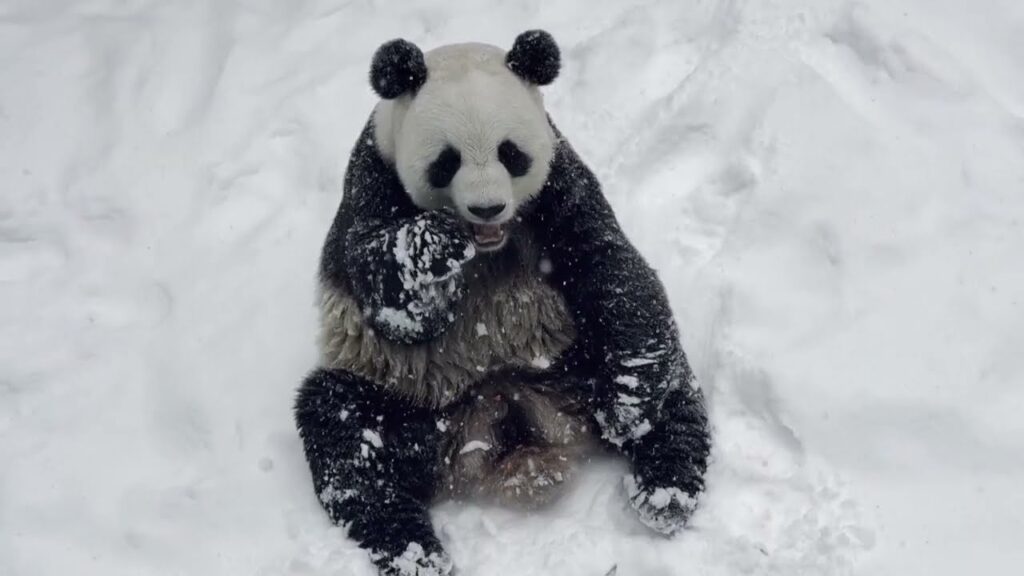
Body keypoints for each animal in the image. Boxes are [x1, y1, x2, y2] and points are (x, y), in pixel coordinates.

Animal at [294, 30, 711, 576]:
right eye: (446, 161)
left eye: (511, 153)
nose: (487, 207)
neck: (489, 244)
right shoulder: (372, 182)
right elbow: (392, 308)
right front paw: (434, 245)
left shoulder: (558, 181)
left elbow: (606, 262)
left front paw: (628, 405)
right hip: (410, 399)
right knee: (342, 431)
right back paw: (415, 552)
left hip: (569, 359)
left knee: (673, 383)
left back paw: (665, 490)